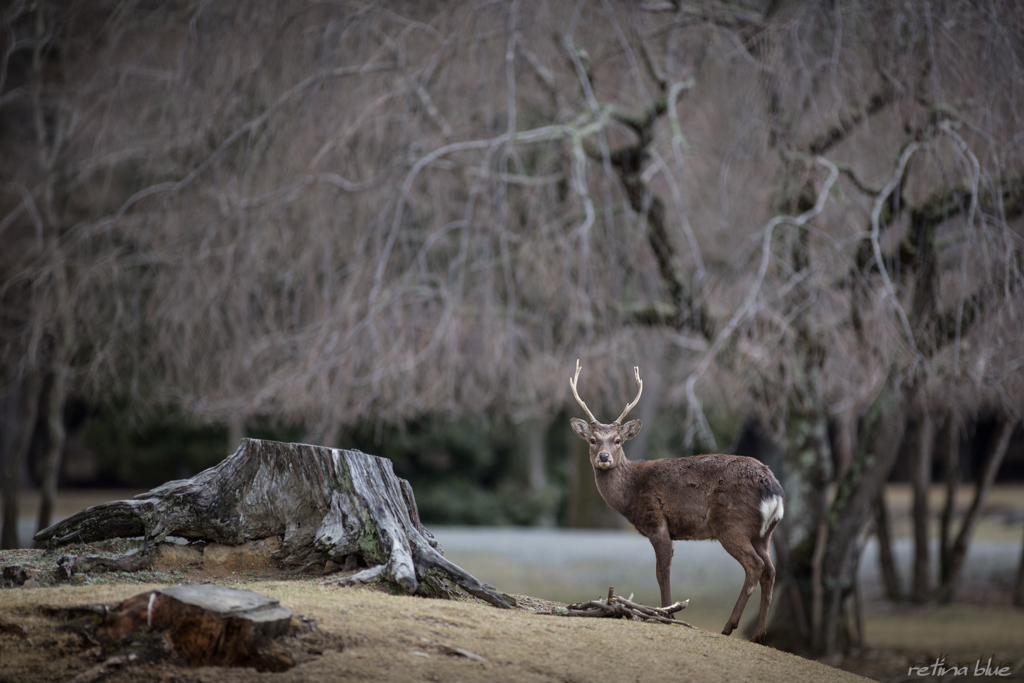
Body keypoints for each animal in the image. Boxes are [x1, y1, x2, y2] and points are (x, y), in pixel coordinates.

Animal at [569, 360, 782, 643]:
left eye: (617, 440)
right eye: (592, 440)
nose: (604, 457)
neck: (630, 493)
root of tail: (774, 490)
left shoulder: (656, 520)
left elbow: (662, 573)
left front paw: (668, 614)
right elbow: (662, 572)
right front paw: (668, 612)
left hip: (732, 524)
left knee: (754, 566)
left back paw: (729, 627)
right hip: (763, 534)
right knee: (770, 570)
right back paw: (758, 635)